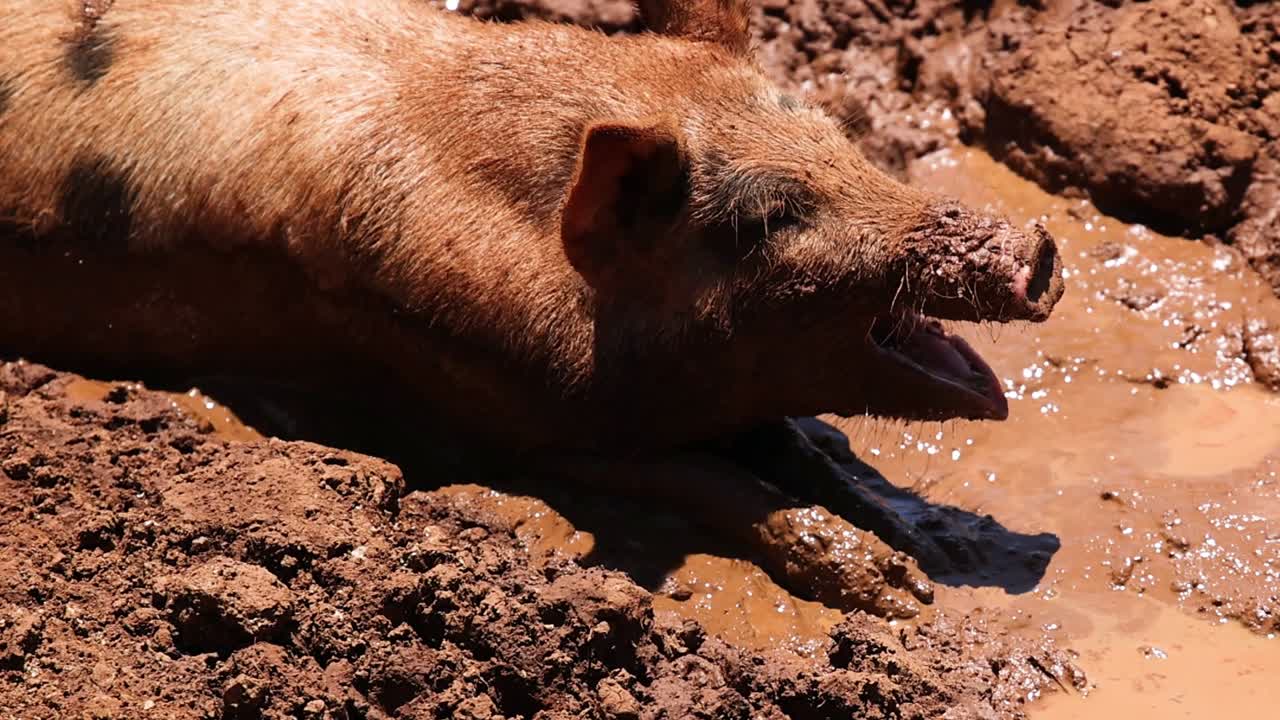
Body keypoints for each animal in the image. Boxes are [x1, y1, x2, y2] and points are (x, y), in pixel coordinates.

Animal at [0, 0, 1063, 613]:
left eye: (839, 135)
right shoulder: (502, 409)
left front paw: (925, 547)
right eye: (767, 216)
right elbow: (716, 482)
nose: (1039, 250)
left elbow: (802, 453)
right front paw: (898, 595)